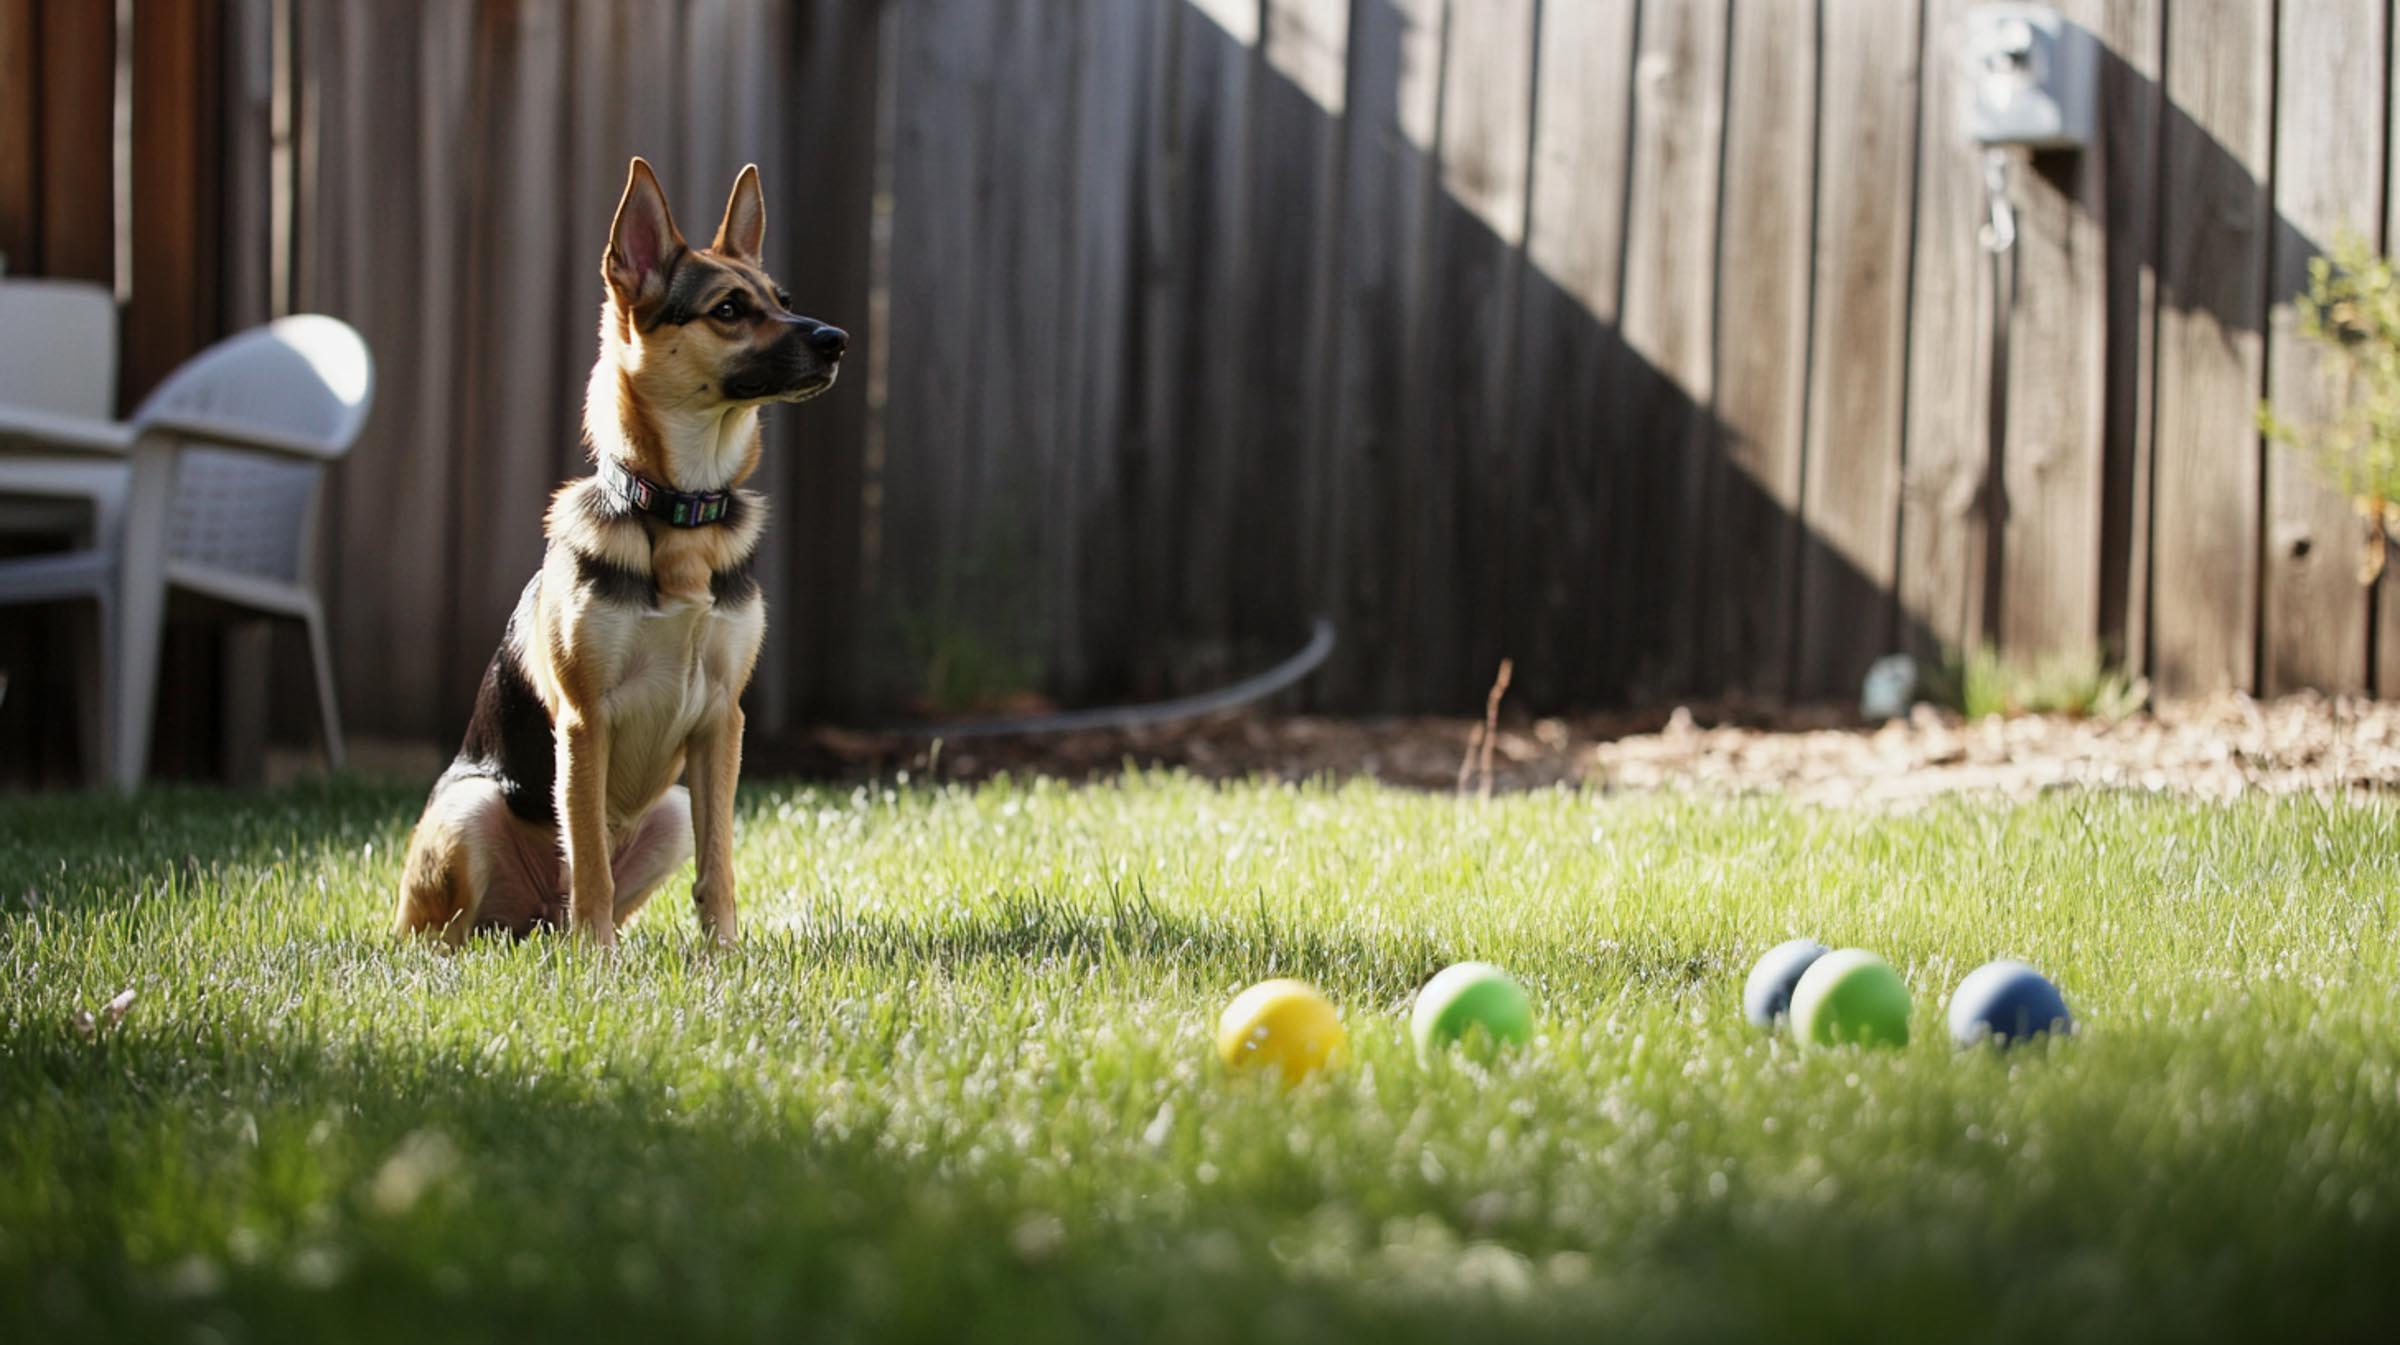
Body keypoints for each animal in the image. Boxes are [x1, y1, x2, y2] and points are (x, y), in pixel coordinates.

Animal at [388, 159, 840, 946]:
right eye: (729, 309)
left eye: (782, 300)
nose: (838, 338)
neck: (679, 510)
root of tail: (531, 923)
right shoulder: (584, 720)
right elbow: (591, 861)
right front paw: (596, 961)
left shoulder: (722, 722)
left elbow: (719, 864)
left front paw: (723, 955)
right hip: (470, 811)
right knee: (453, 929)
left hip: (669, 813)